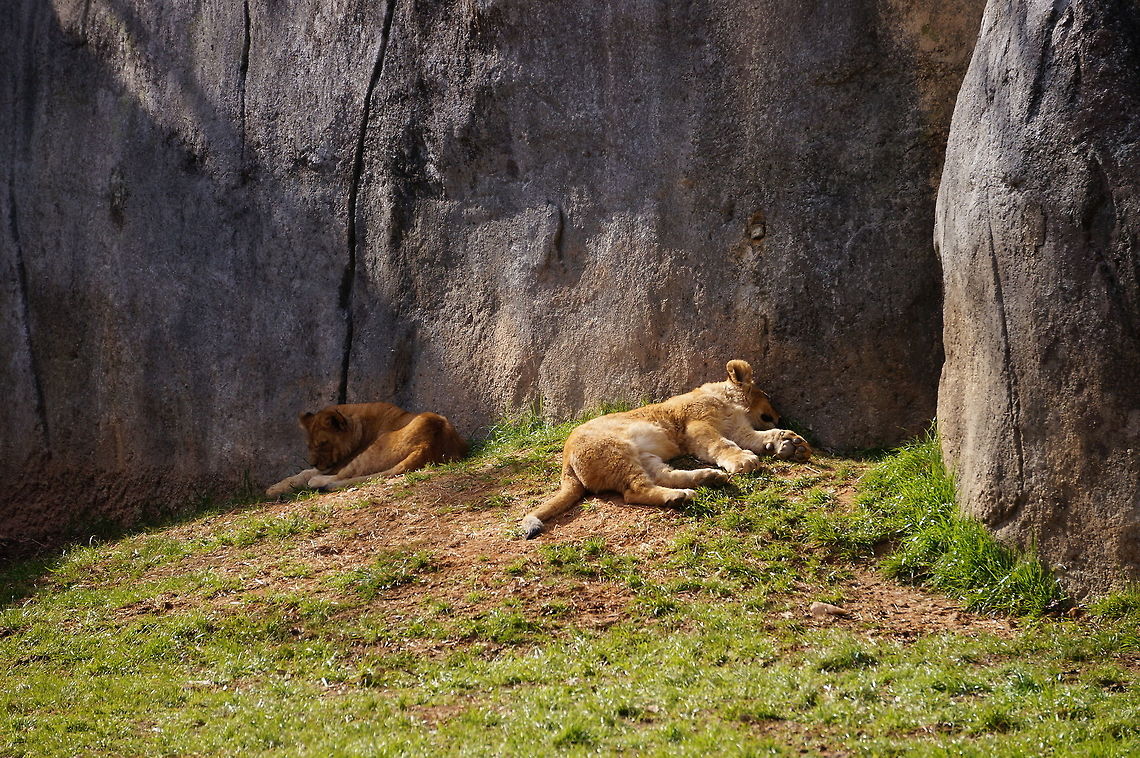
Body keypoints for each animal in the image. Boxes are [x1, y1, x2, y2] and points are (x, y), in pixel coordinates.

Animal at [265, 402, 467, 497]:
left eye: (323, 443)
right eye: (310, 445)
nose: (314, 461)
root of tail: (429, 444)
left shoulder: (338, 462)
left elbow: (306, 473)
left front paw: (274, 489)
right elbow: (302, 472)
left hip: (372, 450)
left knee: (339, 477)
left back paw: (317, 482)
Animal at [520, 360, 812, 538]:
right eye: (768, 397)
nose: (781, 416)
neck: (727, 400)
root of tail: (565, 462)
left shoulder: (739, 429)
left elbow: (758, 437)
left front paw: (789, 444)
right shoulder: (697, 426)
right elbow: (723, 445)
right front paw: (743, 461)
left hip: (644, 456)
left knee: (664, 475)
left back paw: (707, 479)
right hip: (616, 450)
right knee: (635, 491)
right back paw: (680, 497)